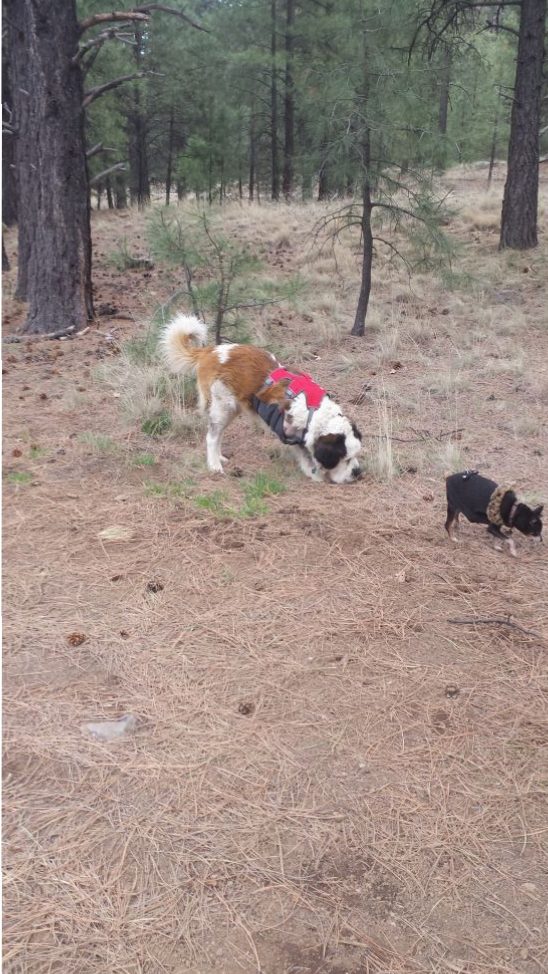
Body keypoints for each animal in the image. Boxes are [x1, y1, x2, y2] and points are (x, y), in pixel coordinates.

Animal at [161, 316, 362, 484]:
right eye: (345, 459)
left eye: (354, 456)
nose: (357, 473)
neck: (313, 410)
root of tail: (210, 350)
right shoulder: (290, 434)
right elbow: (306, 457)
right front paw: (317, 476)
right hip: (222, 407)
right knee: (211, 437)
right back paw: (214, 465)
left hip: (230, 409)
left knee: (218, 435)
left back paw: (220, 458)